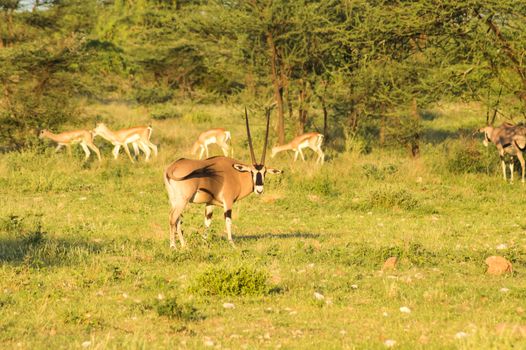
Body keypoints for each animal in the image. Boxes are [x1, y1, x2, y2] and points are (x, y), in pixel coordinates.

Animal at [165, 108, 282, 247]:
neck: (237, 174)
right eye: (252, 172)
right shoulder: (228, 202)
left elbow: (207, 222)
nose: (259, 189)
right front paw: (232, 244)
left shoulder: (210, 203)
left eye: (264, 172)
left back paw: (184, 245)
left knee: (177, 219)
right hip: (183, 200)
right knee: (173, 217)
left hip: (174, 200)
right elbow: (228, 221)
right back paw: (173, 246)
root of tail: (173, 167)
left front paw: (204, 243)